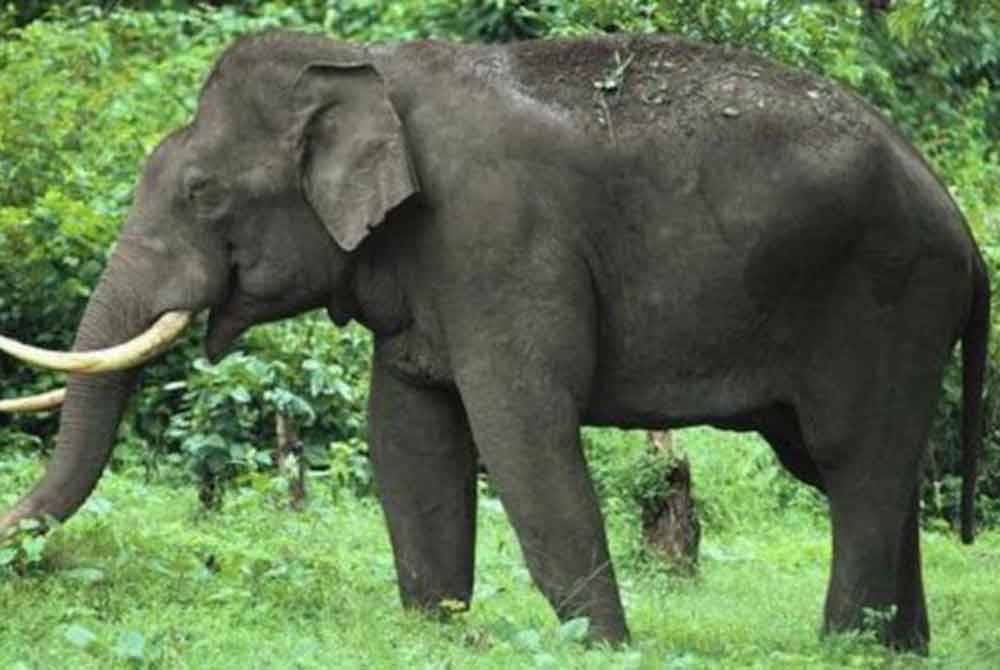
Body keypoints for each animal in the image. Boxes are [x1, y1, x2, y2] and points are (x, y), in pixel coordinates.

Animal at [0, 30, 988, 652]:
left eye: (202, 193)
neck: (367, 67)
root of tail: (967, 233)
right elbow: (407, 432)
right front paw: (435, 630)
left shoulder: (498, 237)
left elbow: (522, 426)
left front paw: (601, 646)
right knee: (867, 471)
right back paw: (903, 650)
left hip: (887, 298)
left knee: (855, 463)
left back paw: (844, 646)